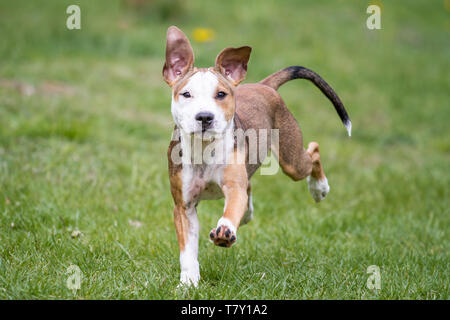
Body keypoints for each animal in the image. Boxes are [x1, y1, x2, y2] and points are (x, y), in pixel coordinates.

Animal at [163, 26, 352, 286]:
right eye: (186, 94)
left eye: (221, 94)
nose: (205, 117)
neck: (204, 149)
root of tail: (265, 86)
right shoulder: (184, 206)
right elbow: (187, 251)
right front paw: (188, 283)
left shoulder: (233, 187)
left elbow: (232, 206)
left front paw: (225, 230)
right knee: (250, 188)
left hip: (292, 160)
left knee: (313, 150)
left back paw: (319, 187)